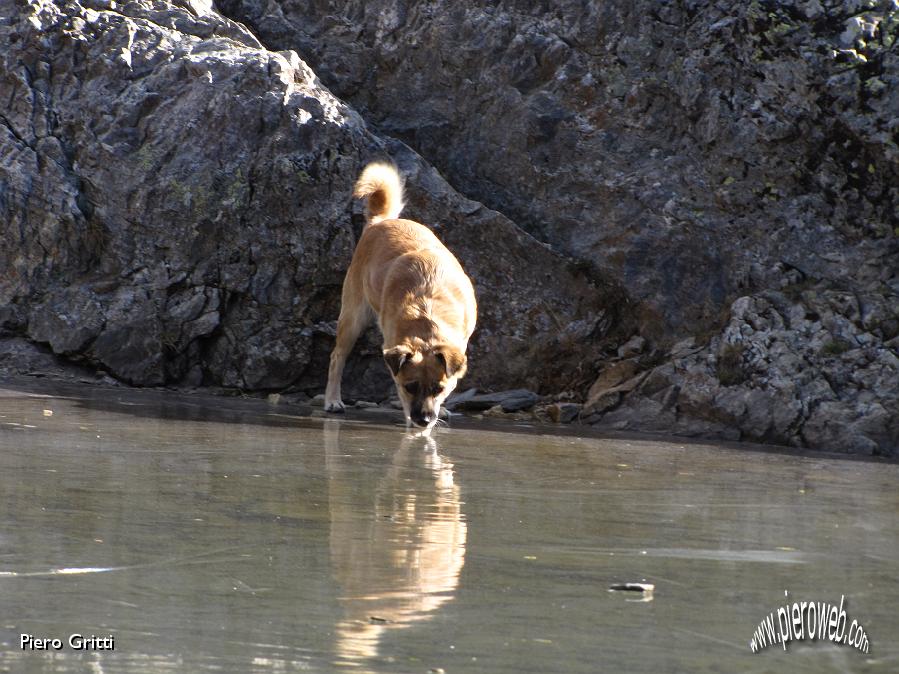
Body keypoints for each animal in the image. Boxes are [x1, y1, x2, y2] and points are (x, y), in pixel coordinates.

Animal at [326, 160, 478, 428]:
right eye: (410, 387)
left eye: (439, 389)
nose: (424, 421)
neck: (428, 316)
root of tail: (379, 221)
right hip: (353, 318)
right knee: (337, 357)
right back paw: (333, 400)